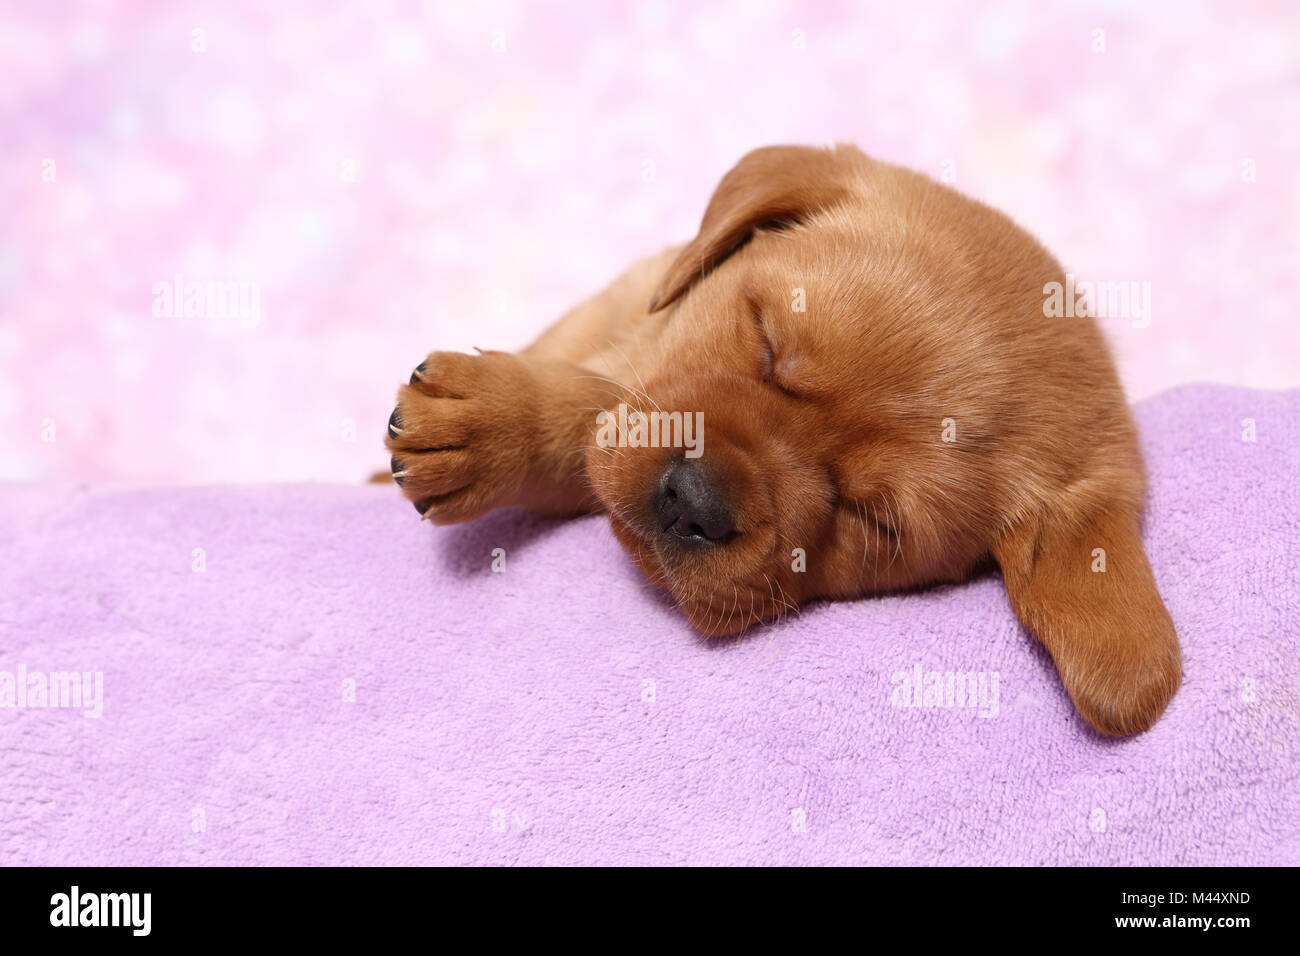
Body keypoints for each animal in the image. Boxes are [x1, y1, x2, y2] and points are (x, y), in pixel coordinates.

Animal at [379, 145, 1185, 738]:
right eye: (764, 337)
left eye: (872, 518)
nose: (692, 501)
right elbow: (604, 398)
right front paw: (498, 423)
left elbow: (600, 409)